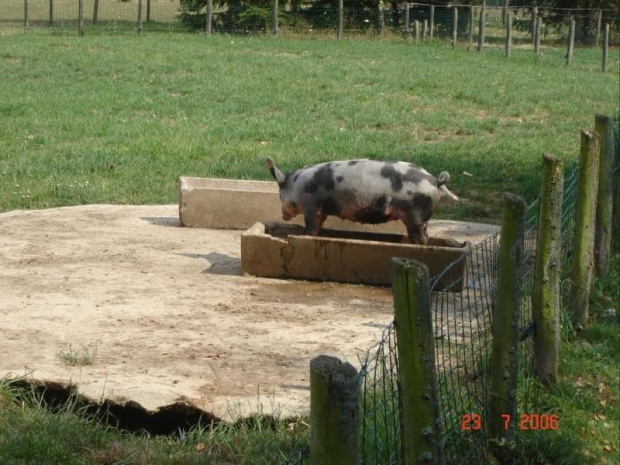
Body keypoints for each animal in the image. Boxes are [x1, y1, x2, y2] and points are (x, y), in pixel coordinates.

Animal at [264, 157, 458, 245]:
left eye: (280, 195)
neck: (297, 185)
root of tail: (435, 181)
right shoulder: (322, 209)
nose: (283, 216)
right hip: (422, 217)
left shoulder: (311, 206)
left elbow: (312, 227)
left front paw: (305, 236)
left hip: (414, 213)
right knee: (426, 234)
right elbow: (320, 225)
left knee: (419, 237)